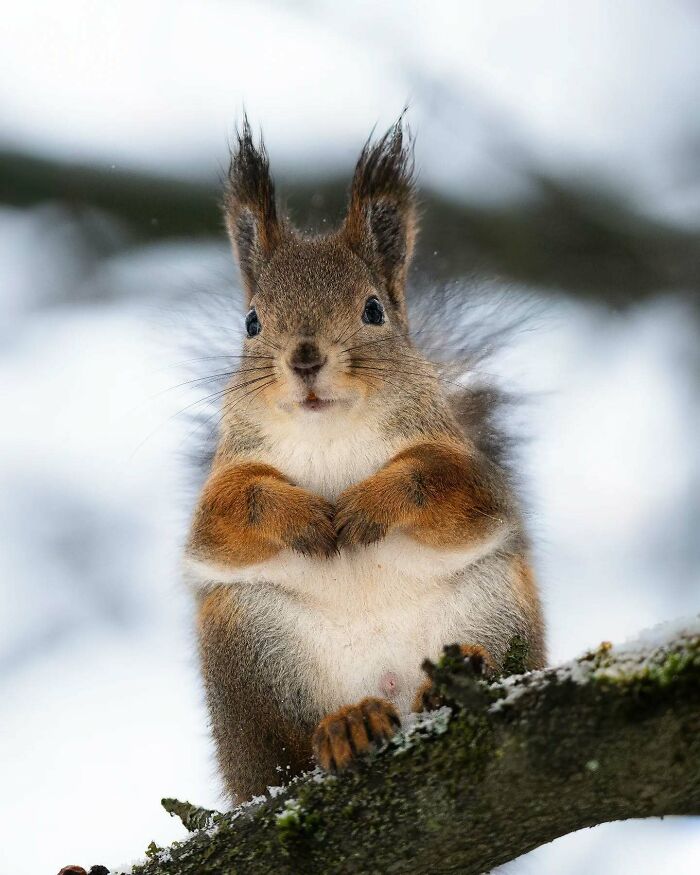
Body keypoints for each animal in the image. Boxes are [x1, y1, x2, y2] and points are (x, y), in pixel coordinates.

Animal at [184, 118, 546, 802]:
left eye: (373, 309)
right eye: (251, 322)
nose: (305, 359)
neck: (330, 434)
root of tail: (391, 694)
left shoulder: (467, 469)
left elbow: (446, 488)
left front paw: (365, 507)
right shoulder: (220, 488)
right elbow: (231, 511)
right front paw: (301, 515)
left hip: (494, 608)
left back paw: (458, 682)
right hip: (248, 655)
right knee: (284, 755)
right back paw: (342, 727)